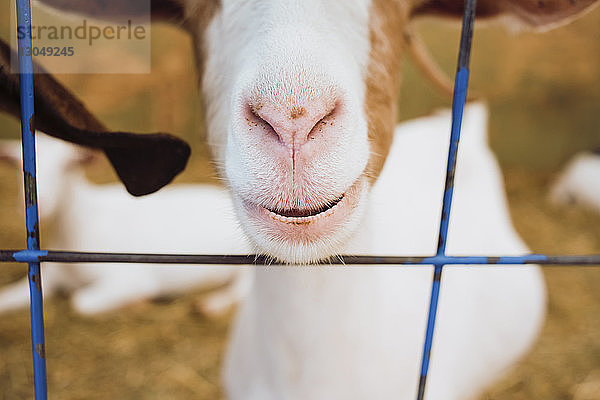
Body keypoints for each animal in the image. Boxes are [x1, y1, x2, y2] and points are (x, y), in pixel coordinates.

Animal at [0, 136, 251, 318]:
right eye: (20, 166)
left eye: (68, 165)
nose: (40, 203)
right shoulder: (47, 276)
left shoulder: (129, 275)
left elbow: (81, 303)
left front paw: (140, 302)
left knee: (242, 291)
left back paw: (210, 306)